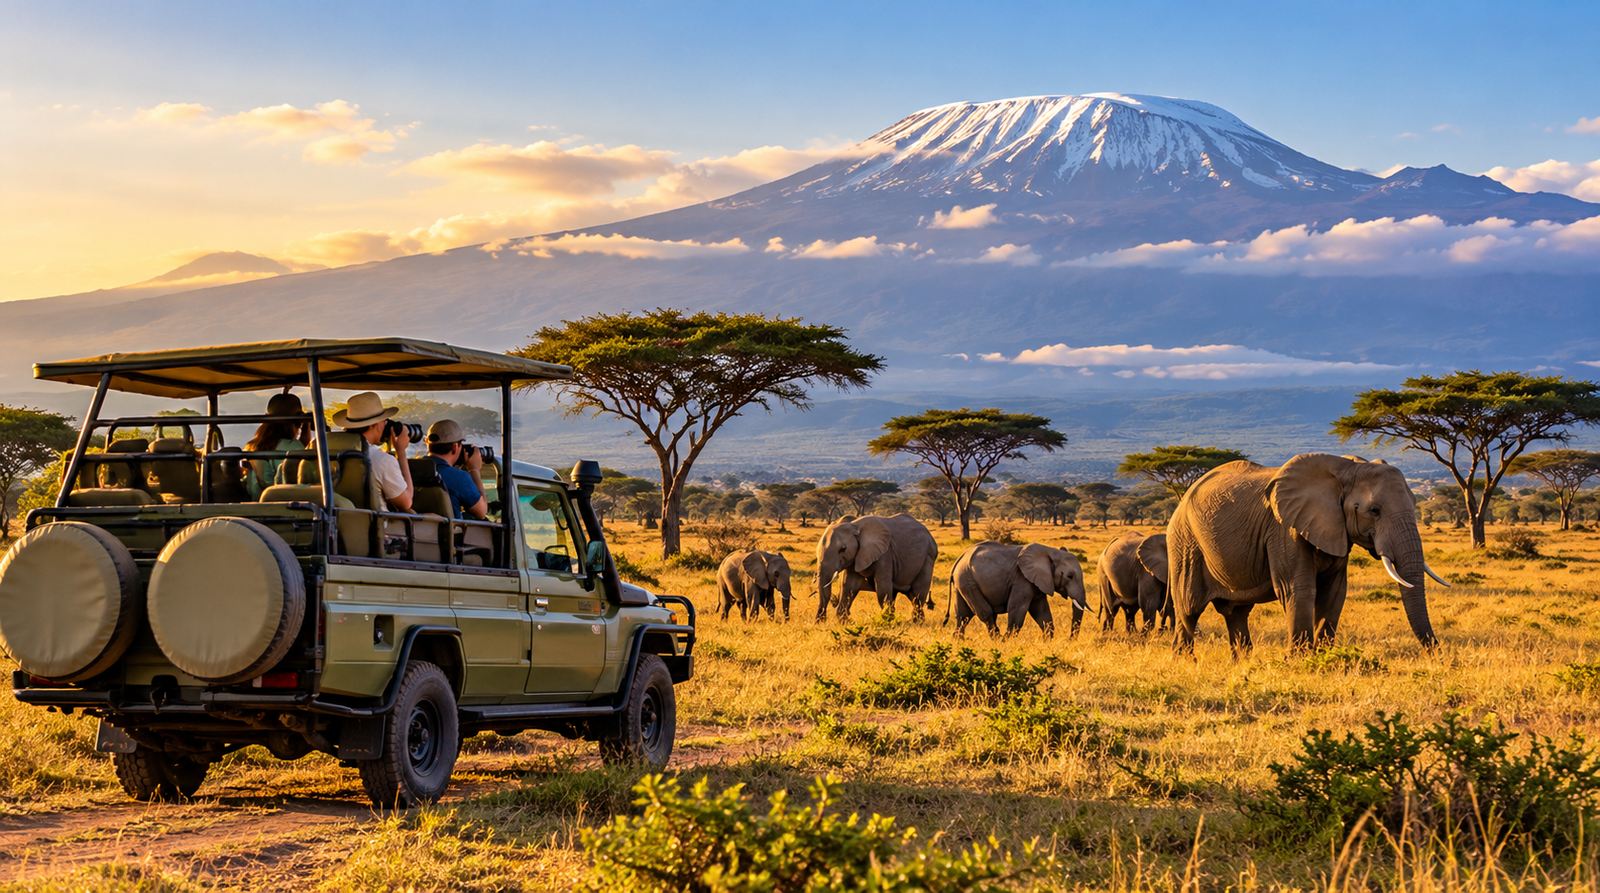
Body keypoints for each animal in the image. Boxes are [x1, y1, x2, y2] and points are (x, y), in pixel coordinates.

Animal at [945, 541, 1089, 638]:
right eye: (1069, 576)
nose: (1070, 639)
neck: (1049, 551)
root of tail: (959, 558)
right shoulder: (1021, 579)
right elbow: (1017, 610)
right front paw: (1007, 641)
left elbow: (1042, 612)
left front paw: (1047, 642)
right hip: (968, 581)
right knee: (986, 613)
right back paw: (998, 640)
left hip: (962, 582)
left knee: (963, 616)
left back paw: (958, 640)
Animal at [1167, 453, 1449, 657]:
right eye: (1374, 511)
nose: (1438, 654)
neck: (1347, 468)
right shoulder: (1284, 529)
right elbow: (1297, 588)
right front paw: (1300, 662)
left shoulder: (1335, 529)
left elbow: (1334, 591)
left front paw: (1324, 659)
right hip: (1185, 544)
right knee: (1189, 609)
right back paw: (1186, 662)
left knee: (1237, 613)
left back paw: (1243, 663)